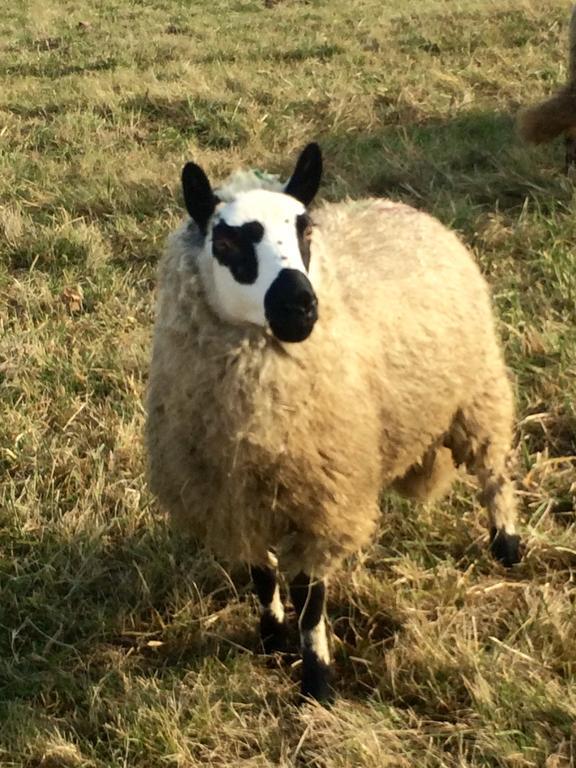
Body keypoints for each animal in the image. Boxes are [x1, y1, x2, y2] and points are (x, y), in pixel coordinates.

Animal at [145, 142, 520, 704]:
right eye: (227, 241)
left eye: (304, 230)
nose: (299, 305)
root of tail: (400, 205)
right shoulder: (241, 497)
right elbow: (261, 574)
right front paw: (272, 639)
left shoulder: (322, 497)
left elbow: (310, 596)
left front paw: (317, 681)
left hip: (478, 391)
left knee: (493, 469)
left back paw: (507, 545)